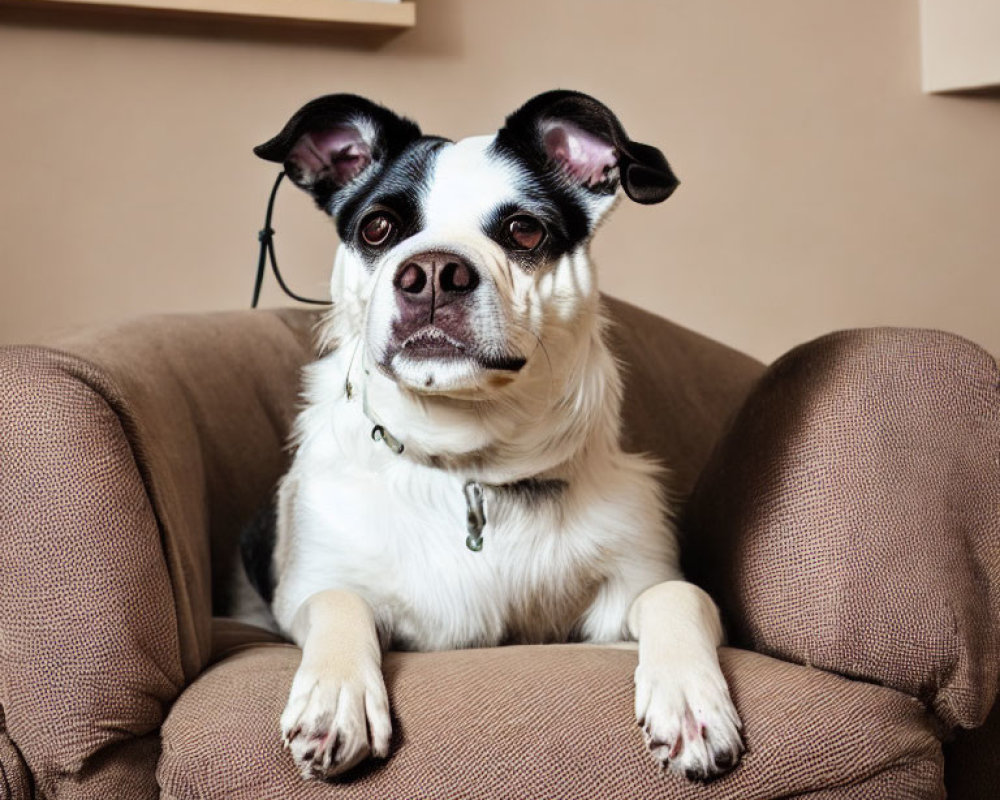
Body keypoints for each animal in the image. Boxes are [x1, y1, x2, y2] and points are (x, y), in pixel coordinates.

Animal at [242, 92, 744, 780]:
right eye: (377, 229)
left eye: (524, 231)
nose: (432, 272)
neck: (467, 463)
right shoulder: (309, 593)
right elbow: (338, 602)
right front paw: (336, 696)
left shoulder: (626, 594)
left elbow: (679, 593)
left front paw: (690, 698)